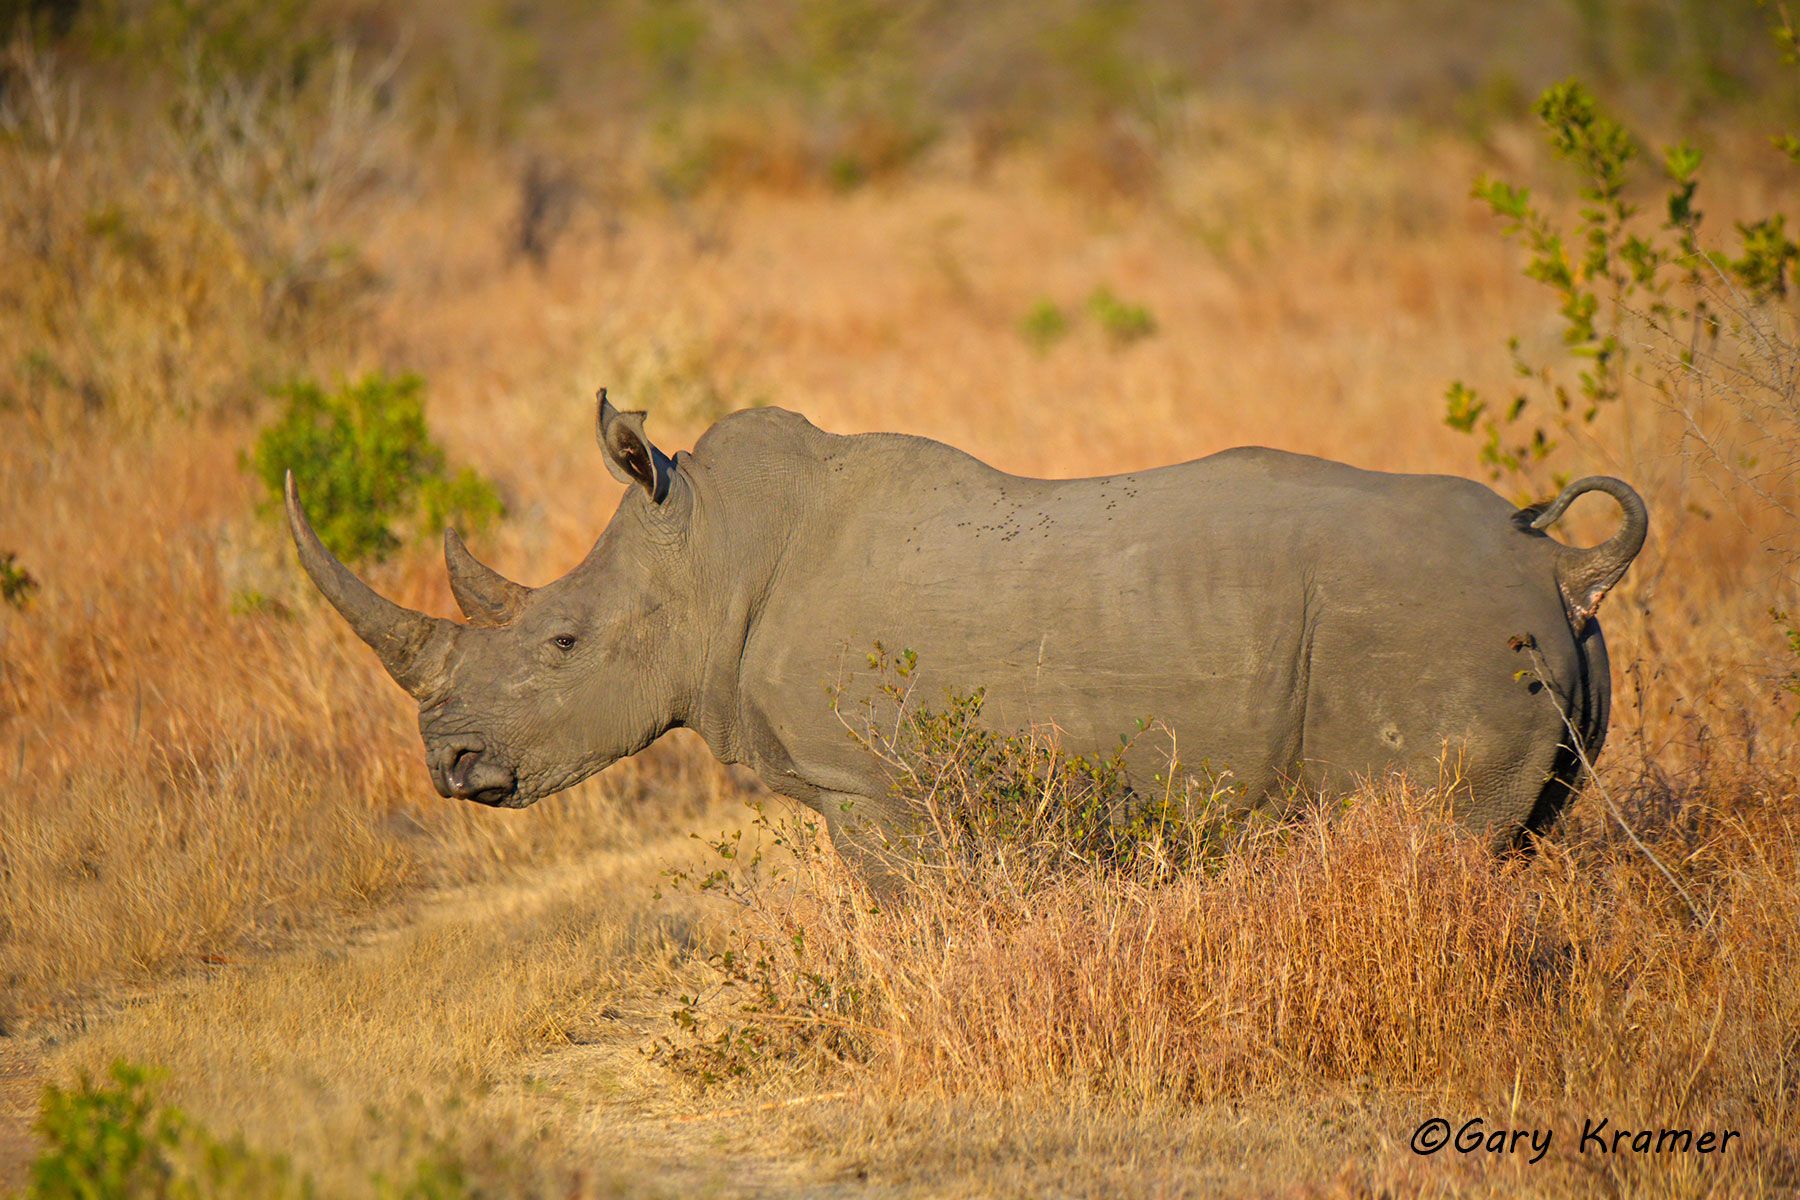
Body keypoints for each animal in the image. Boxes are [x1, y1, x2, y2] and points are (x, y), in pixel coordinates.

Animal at [285, 392, 1645, 867]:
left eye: (561, 644)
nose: (450, 767)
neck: (710, 552)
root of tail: (1558, 558)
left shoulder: (869, 788)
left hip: (1427, 634)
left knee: (1427, 840)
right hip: (1533, 647)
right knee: (1520, 839)